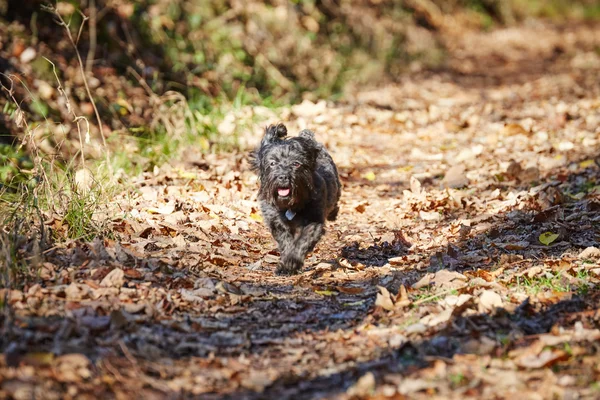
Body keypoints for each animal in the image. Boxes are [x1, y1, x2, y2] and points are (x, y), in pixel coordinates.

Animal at [251, 124, 340, 276]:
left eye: (296, 164)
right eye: (272, 163)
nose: (283, 176)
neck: (290, 205)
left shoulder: (313, 222)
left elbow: (302, 242)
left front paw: (291, 263)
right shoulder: (276, 223)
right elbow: (286, 243)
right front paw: (285, 265)